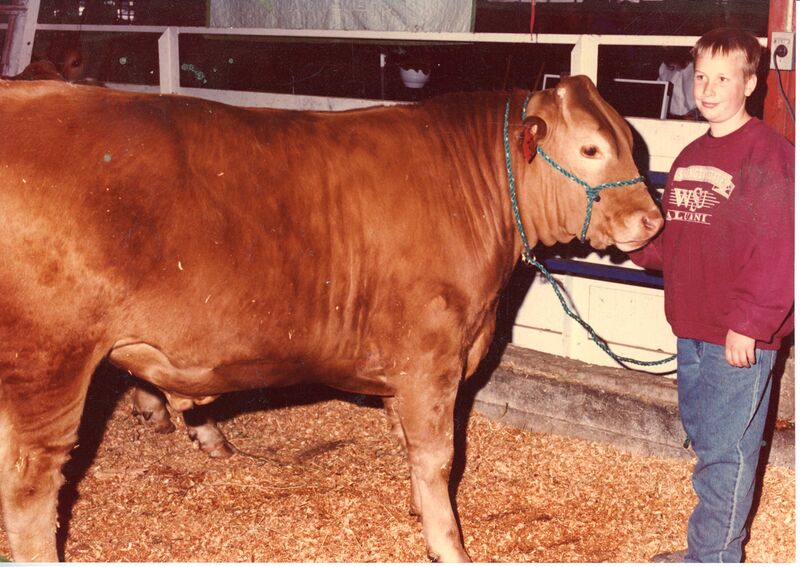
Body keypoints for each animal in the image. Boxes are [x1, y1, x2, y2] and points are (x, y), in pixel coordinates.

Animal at [0, 75, 662, 562]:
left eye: (630, 142)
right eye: (591, 149)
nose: (652, 220)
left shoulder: (408, 370)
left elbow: (411, 450)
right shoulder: (432, 359)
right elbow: (437, 459)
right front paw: (449, 545)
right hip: (49, 365)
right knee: (32, 485)